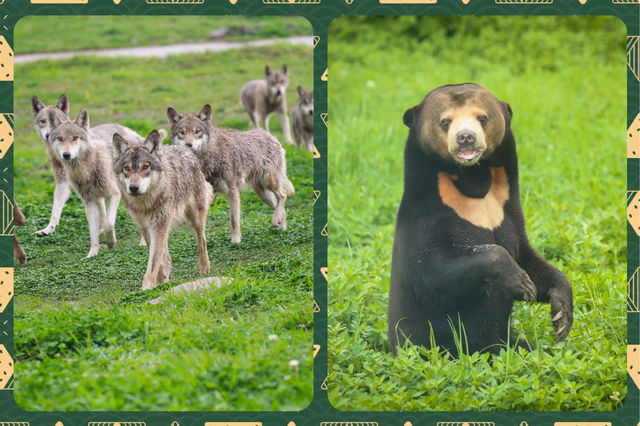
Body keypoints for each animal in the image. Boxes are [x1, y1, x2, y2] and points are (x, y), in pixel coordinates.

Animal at [47, 108, 121, 258]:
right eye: (60, 138)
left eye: (75, 137)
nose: (66, 155)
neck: (87, 171)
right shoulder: (89, 202)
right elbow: (93, 233)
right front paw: (92, 255)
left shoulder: (114, 194)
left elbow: (109, 224)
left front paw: (110, 242)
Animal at [110, 129, 210, 290]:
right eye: (127, 168)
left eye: (145, 167)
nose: (133, 188)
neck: (147, 203)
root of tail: (184, 149)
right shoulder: (146, 226)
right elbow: (158, 258)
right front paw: (161, 279)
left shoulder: (159, 225)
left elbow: (153, 262)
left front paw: (146, 288)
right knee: (167, 253)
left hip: (195, 218)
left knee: (202, 241)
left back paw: (204, 268)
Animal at [165, 104, 296, 243]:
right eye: (182, 132)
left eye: (197, 131)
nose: (188, 144)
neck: (208, 156)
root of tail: (272, 136)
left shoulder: (232, 191)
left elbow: (234, 220)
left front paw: (235, 241)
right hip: (262, 194)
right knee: (278, 204)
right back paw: (281, 226)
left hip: (269, 182)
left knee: (283, 195)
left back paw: (276, 220)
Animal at [388, 83, 572, 356]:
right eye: (445, 122)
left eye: (482, 118)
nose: (466, 137)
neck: (474, 180)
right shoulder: (426, 216)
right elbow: (431, 273)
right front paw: (521, 283)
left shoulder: (508, 211)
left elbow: (526, 257)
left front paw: (561, 315)